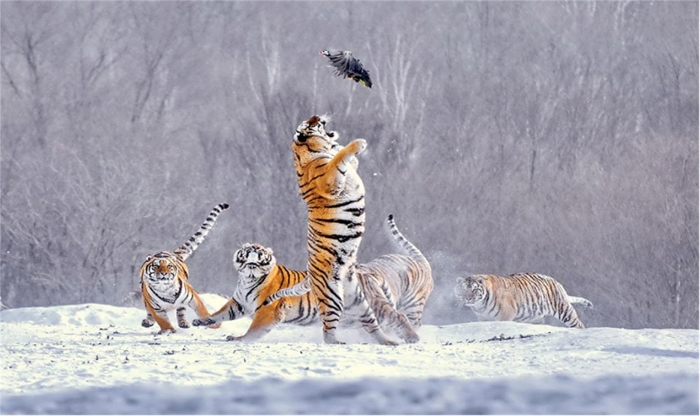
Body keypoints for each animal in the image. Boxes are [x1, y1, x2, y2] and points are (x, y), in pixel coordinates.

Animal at [140, 203, 229, 334]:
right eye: (156, 266)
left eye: (169, 266)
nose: (164, 273)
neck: (166, 290)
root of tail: (173, 253)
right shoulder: (155, 308)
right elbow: (163, 320)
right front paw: (168, 331)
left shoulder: (193, 298)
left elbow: (202, 312)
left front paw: (214, 325)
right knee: (149, 311)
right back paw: (148, 322)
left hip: (182, 302)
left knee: (181, 310)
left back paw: (184, 323)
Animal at [290, 114, 395, 345]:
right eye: (309, 124)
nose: (317, 116)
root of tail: (309, 276)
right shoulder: (330, 181)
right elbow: (340, 157)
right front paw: (358, 143)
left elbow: (346, 157)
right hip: (332, 296)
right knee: (328, 327)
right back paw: (337, 342)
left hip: (358, 300)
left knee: (370, 322)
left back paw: (389, 341)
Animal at [453, 273, 593, 328]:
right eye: (463, 289)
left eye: (475, 289)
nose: (468, 298)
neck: (480, 306)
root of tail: (556, 282)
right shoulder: (482, 318)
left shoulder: (506, 315)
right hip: (536, 317)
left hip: (564, 311)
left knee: (578, 324)